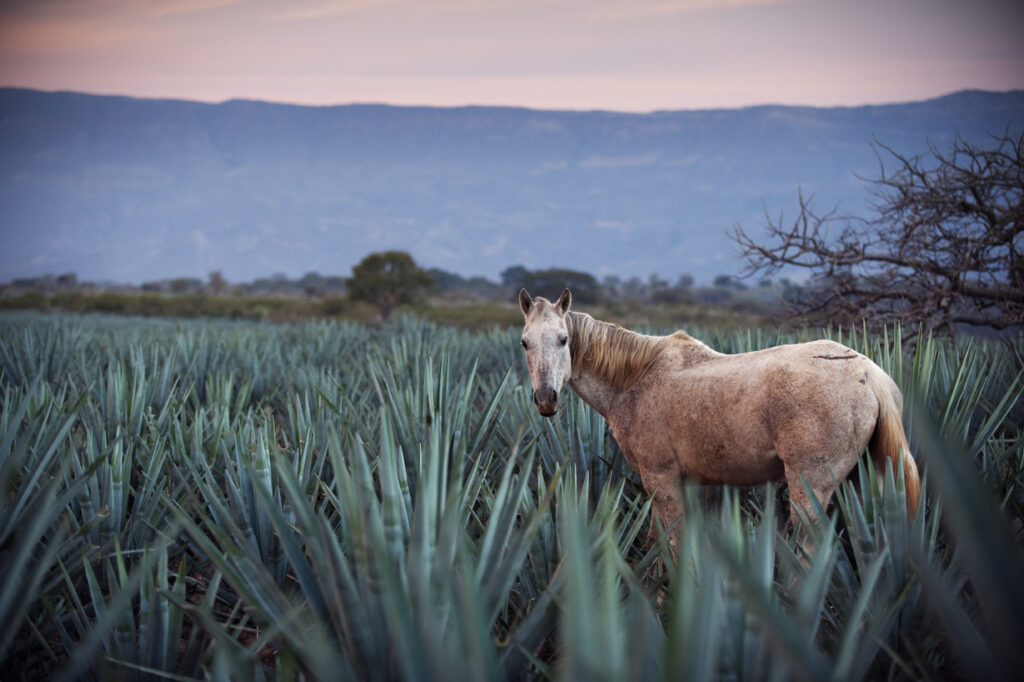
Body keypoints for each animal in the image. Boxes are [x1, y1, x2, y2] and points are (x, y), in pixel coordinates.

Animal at [518, 288, 920, 541]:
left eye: (564, 340)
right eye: (524, 342)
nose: (545, 398)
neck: (637, 379)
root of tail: (868, 372)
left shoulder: (660, 480)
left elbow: (672, 545)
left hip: (811, 486)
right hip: (861, 481)